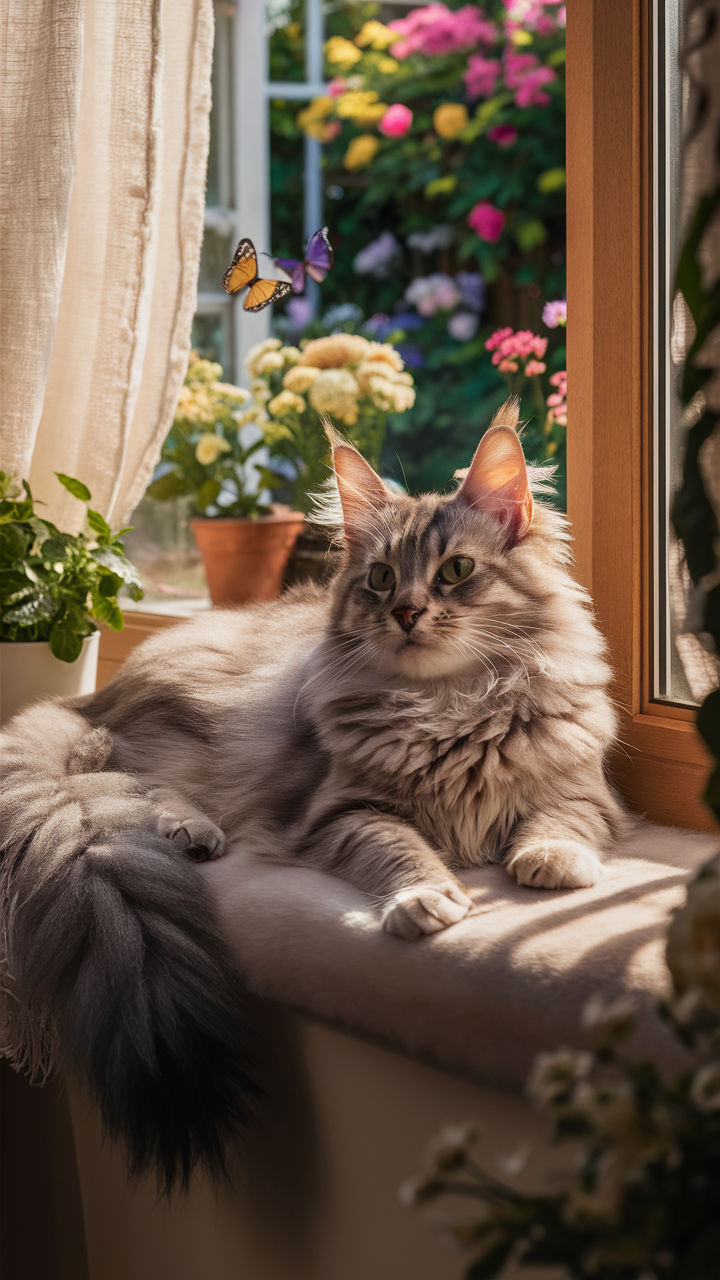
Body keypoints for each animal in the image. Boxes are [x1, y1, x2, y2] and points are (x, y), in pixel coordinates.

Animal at [0, 399, 622, 1187]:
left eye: (456, 571)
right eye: (381, 578)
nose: (407, 612)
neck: (449, 707)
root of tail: (101, 692)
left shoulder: (586, 790)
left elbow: (559, 822)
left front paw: (548, 861)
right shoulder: (340, 811)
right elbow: (400, 850)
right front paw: (425, 900)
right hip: (196, 734)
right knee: (129, 779)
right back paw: (190, 831)